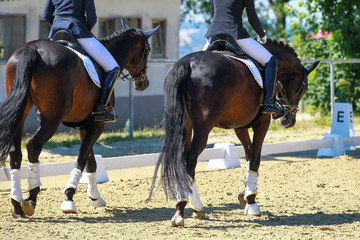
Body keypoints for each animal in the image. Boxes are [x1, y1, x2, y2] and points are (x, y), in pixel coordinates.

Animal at [0, 22, 158, 218]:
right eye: (148, 49)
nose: (143, 83)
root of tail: (32, 49)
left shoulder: (85, 125)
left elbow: (91, 161)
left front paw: (95, 197)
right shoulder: (98, 124)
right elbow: (82, 158)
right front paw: (69, 196)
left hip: (21, 111)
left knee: (15, 151)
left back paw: (16, 203)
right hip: (52, 119)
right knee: (33, 146)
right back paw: (32, 197)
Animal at [150, 38, 320, 226]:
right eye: (304, 87)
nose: (289, 120)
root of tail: (187, 63)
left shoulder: (240, 126)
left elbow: (248, 156)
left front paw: (245, 195)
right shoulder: (263, 122)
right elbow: (255, 159)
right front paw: (252, 202)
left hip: (185, 125)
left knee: (183, 162)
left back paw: (193, 208)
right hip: (203, 127)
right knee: (190, 161)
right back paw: (183, 210)